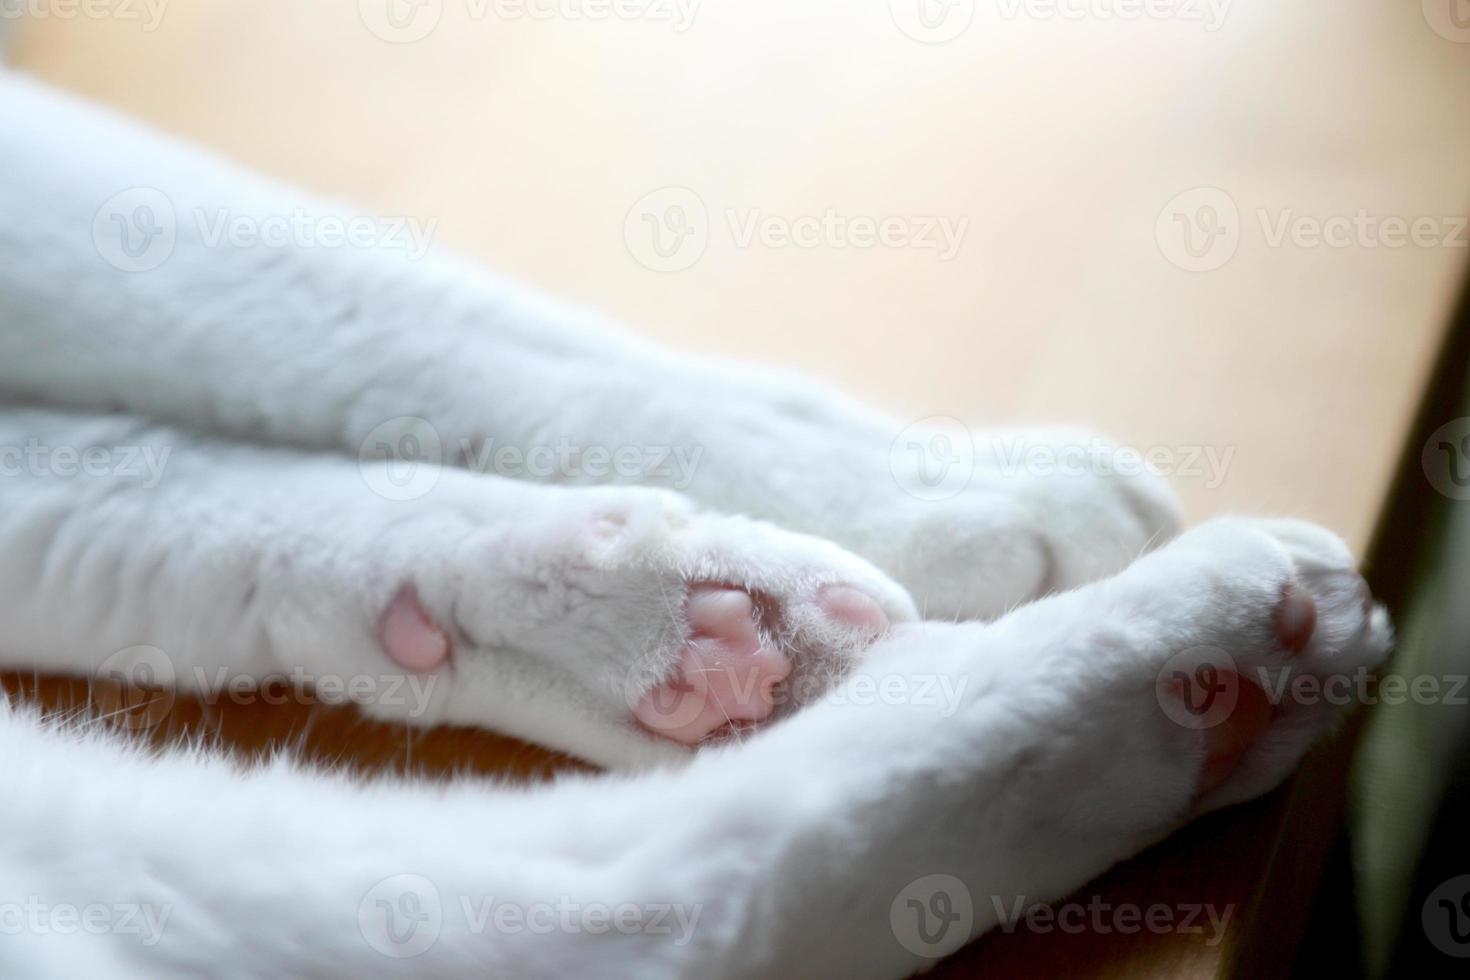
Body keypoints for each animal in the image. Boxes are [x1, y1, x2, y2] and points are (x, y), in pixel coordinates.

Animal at [0, 72, 1387, 975]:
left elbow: (385, 313)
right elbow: (360, 309)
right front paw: (956, 479)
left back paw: (675, 629)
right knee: (662, 898)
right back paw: (1208, 657)